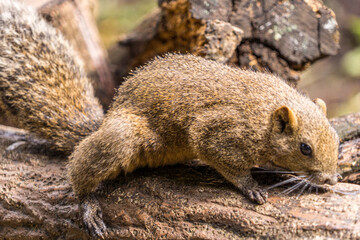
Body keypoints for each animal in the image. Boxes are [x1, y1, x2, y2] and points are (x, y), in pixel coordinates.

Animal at [0, 1, 338, 238]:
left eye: (335, 137)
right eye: (305, 148)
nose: (332, 180)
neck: (264, 114)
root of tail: (106, 118)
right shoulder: (217, 131)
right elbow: (226, 161)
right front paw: (251, 186)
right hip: (122, 137)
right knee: (80, 171)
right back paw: (88, 205)